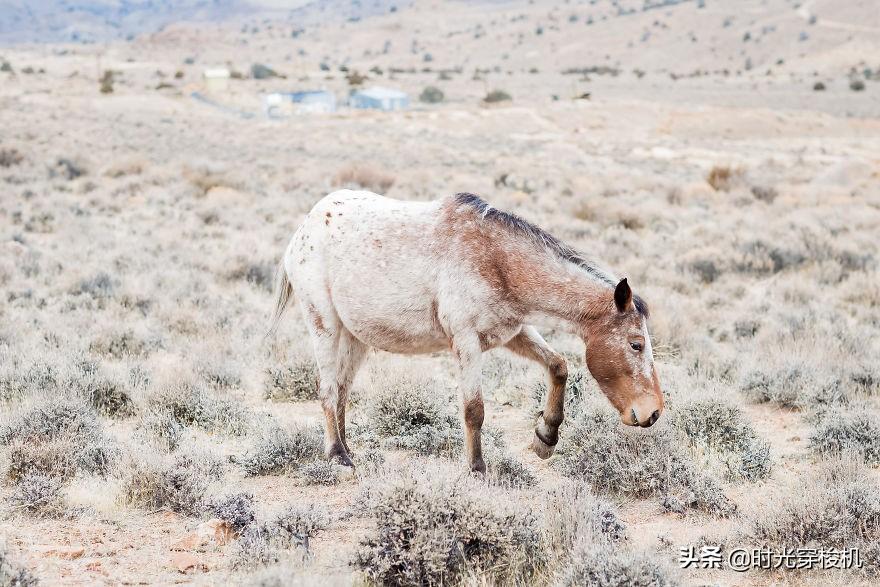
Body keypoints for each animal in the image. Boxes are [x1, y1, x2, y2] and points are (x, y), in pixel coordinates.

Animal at [272, 191, 664, 476]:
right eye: (636, 344)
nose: (654, 413)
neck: (495, 259)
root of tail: (305, 227)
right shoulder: (466, 342)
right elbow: (475, 410)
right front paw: (477, 469)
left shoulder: (514, 332)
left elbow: (558, 366)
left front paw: (546, 437)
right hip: (324, 325)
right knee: (327, 390)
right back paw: (338, 456)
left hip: (355, 338)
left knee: (341, 391)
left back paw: (347, 448)